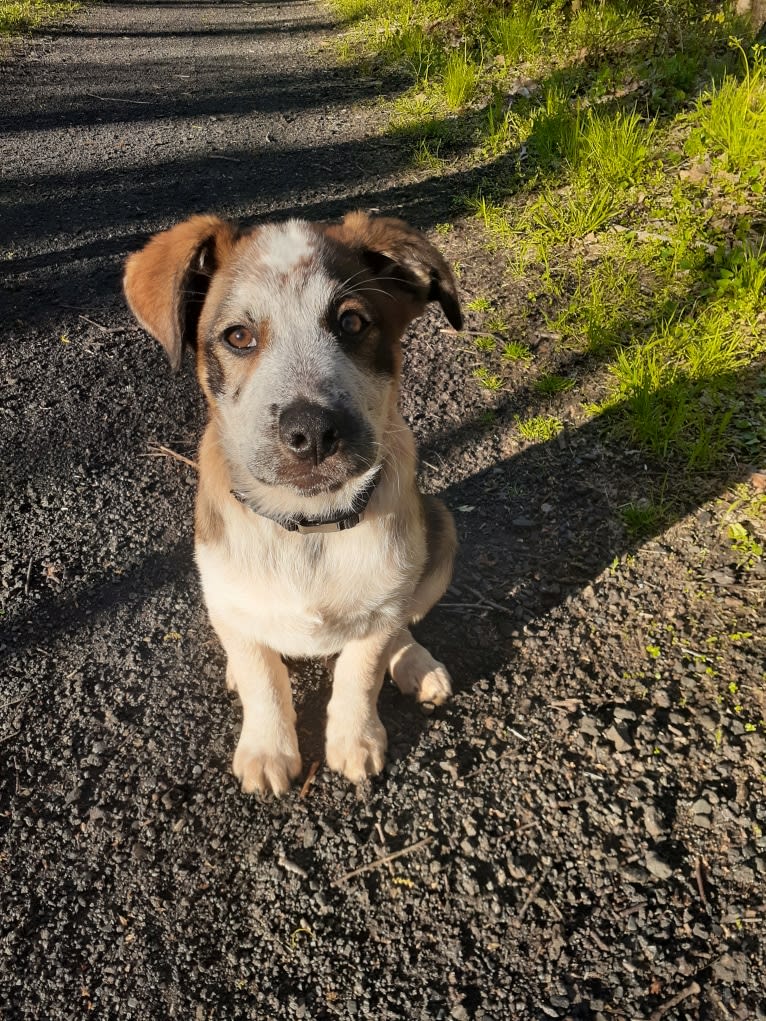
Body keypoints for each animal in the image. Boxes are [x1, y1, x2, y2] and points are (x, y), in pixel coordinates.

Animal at [123, 211, 465, 792]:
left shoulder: (383, 600)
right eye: (239, 336)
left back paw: (415, 664)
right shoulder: (226, 591)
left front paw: (355, 739)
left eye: (352, 323)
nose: (312, 435)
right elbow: (265, 679)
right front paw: (268, 748)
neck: (310, 527)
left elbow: (361, 670)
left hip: (438, 532)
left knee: (401, 625)